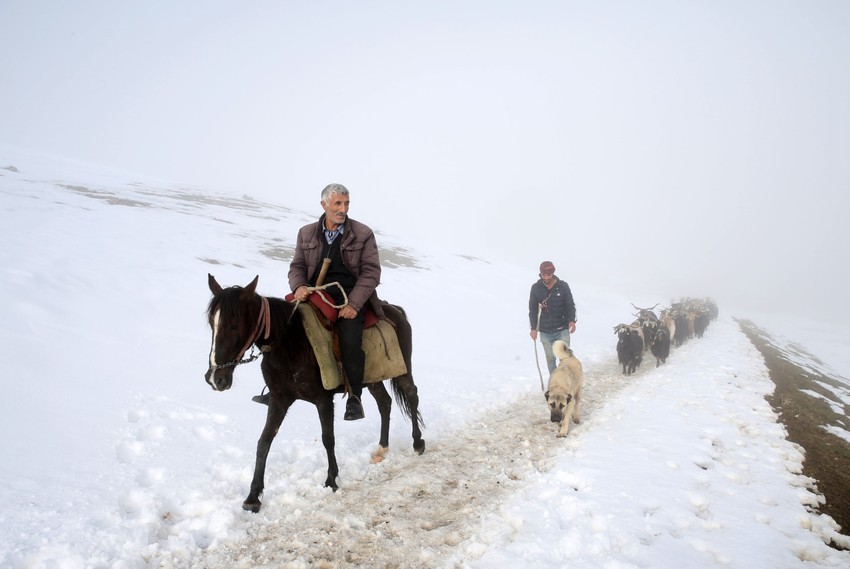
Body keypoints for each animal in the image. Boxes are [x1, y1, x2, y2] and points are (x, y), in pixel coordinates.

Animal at [202, 272, 420, 512]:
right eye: (212, 324)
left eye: (233, 326)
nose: (215, 379)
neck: (289, 342)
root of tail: (396, 311)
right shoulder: (279, 400)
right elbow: (264, 441)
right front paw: (253, 496)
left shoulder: (323, 399)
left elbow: (328, 438)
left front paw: (331, 480)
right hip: (373, 378)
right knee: (385, 403)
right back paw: (382, 448)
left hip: (403, 370)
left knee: (412, 395)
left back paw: (418, 443)